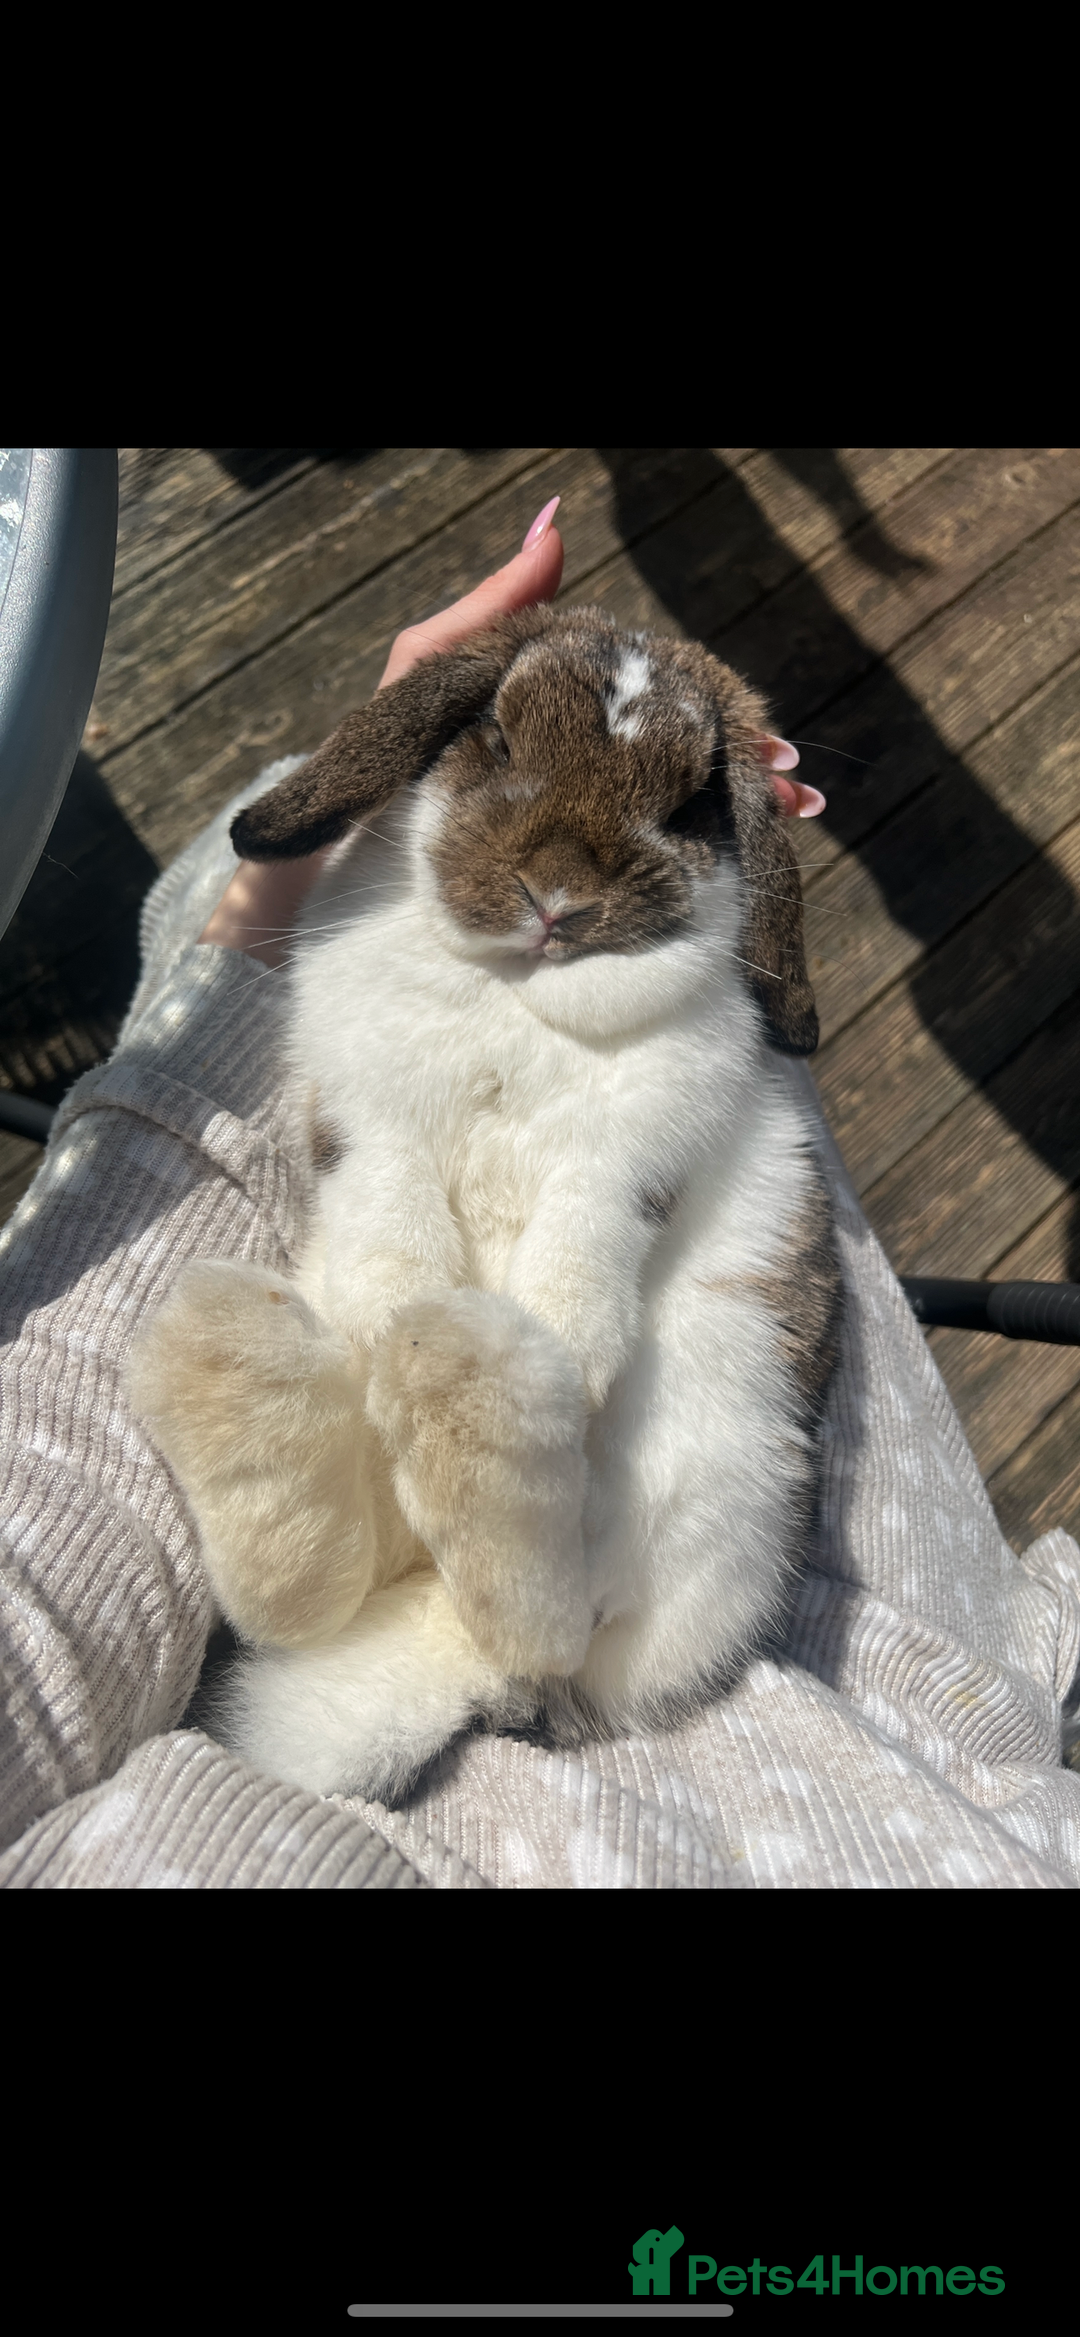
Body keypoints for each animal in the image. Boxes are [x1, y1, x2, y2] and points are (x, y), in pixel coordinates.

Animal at [127, 603, 842, 1808]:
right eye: (496, 736)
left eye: (687, 803)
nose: (556, 900)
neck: (522, 995)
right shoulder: (369, 1118)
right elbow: (389, 1221)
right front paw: (384, 1316)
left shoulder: (631, 1157)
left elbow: (583, 1249)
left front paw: (573, 1358)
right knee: (321, 1593)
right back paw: (276, 1364)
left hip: (713, 1475)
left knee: (541, 1623)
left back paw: (477, 1375)